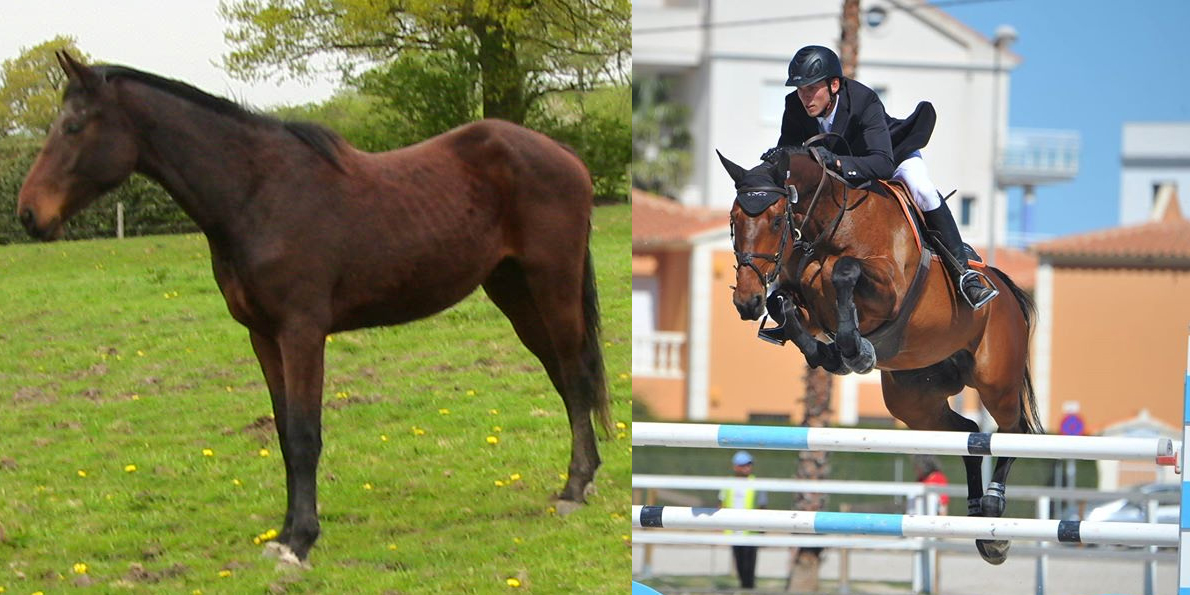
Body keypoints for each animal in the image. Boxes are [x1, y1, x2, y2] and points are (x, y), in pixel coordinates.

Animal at [18, 52, 614, 566]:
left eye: (74, 126)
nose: (28, 214)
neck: (257, 195)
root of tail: (567, 158)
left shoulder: (301, 333)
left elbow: (305, 435)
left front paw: (300, 541)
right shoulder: (263, 336)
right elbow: (284, 433)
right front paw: (284, 533)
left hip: (551, 284)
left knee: (575, 374)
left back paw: (575, 486)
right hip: (513, 291)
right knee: (564, 376)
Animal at [714, 146, 1042, 564]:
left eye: (775, 219)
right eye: (734, 219)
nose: (746, 301)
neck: (827, 227)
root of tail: (1008, 292)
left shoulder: (887, 287)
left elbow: (843, 272)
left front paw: (854, 350)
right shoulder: (800, 292)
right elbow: (785, 301)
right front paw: (831, 352)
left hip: (995, 382)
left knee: (1014, 431)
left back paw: (993, 514)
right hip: (914, 402)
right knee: (968, 435)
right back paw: (979, 524)